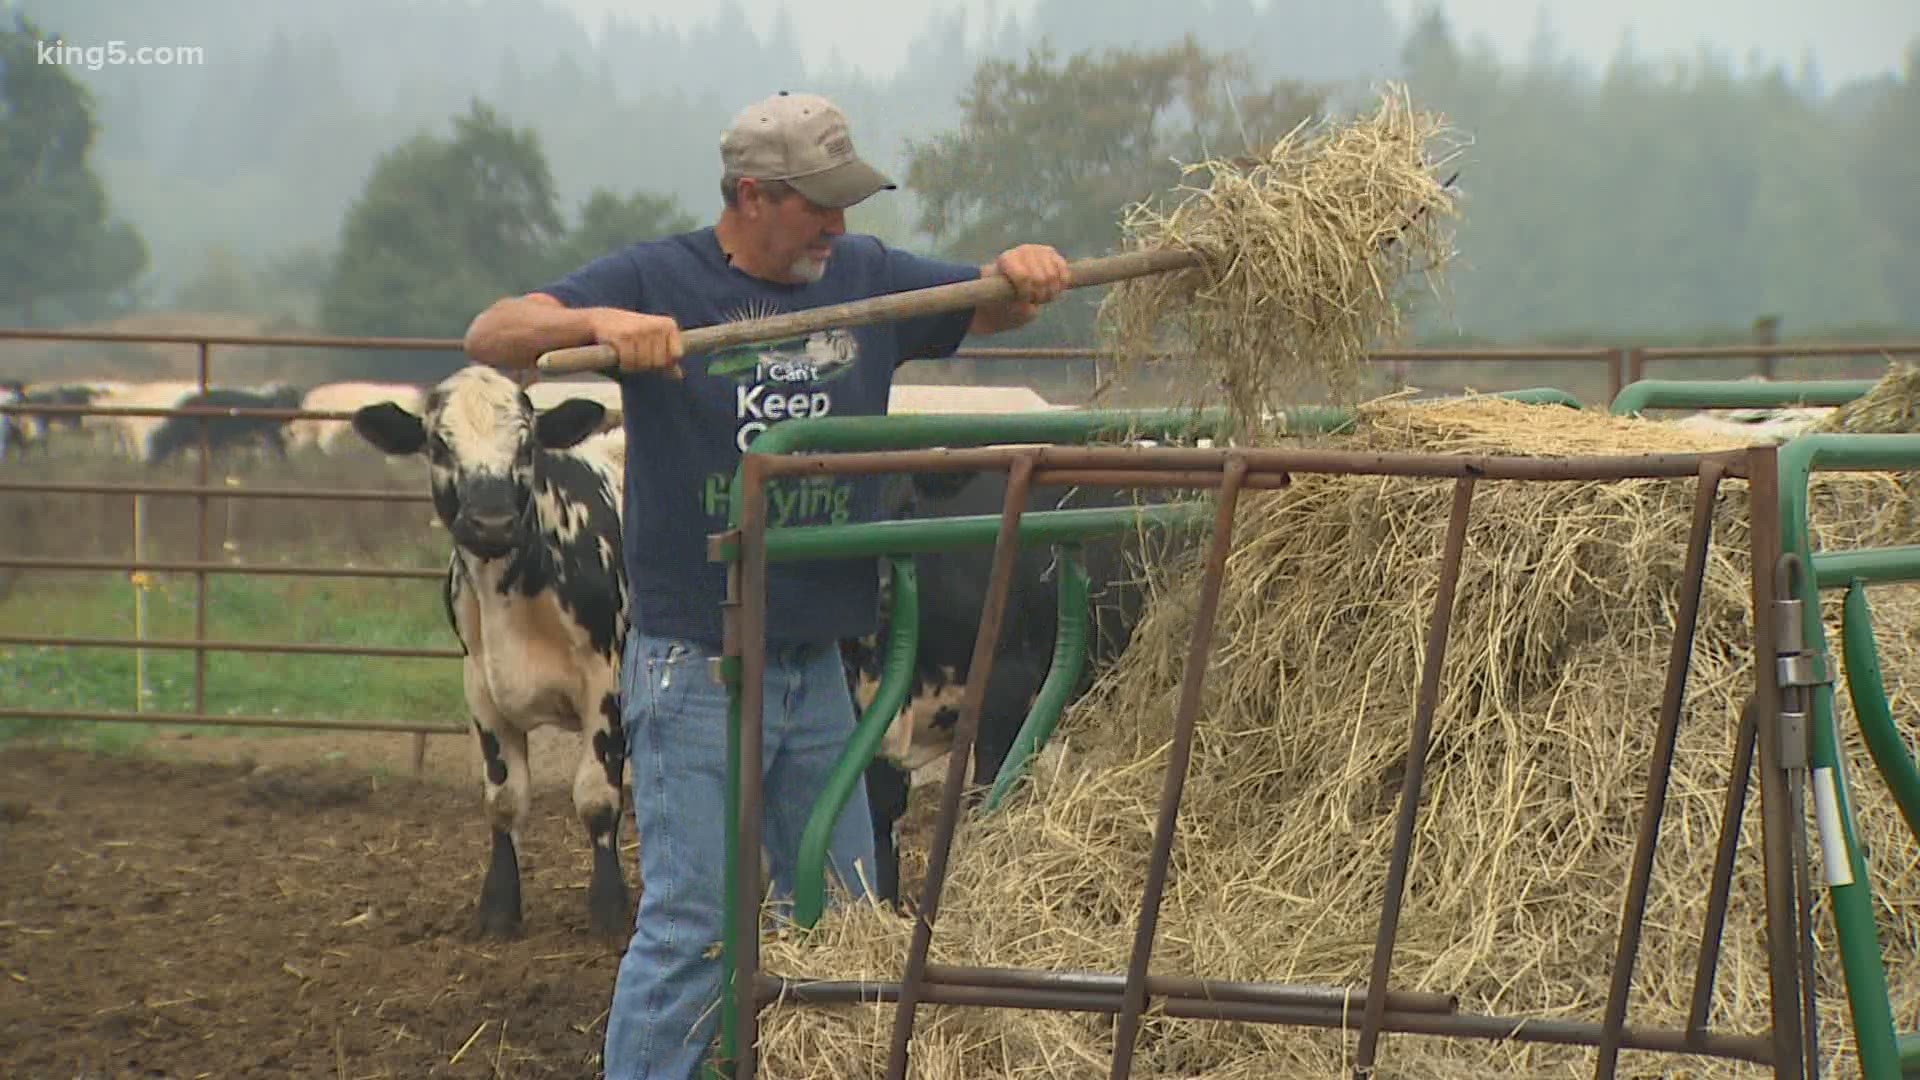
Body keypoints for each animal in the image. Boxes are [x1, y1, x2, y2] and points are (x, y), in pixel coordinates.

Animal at [349, 363, 633, 933]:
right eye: (439, 443)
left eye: (526, 443)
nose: (492, 522)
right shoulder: (479, 686)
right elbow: (503, 799)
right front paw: (499, 906)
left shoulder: (605, 682)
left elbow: (597, 797)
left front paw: (610, 906)